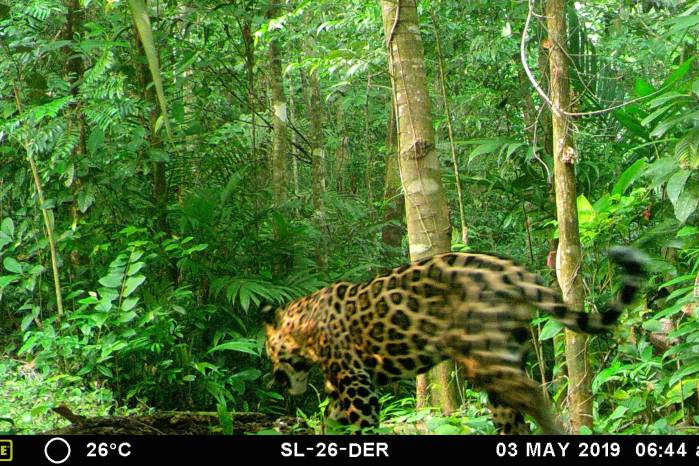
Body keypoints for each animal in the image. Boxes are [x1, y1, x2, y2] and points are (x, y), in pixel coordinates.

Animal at [263, 247, 646, 434]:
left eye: (270, 353)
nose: (276, 380)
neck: (302, 326)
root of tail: (515, 272)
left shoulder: (357, 385)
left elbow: (359, 425)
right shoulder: (343, 389)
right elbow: (329, 421)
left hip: (485, 355)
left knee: (532, 394)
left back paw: (555, 427)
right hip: (506, 350)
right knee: (513, 412)